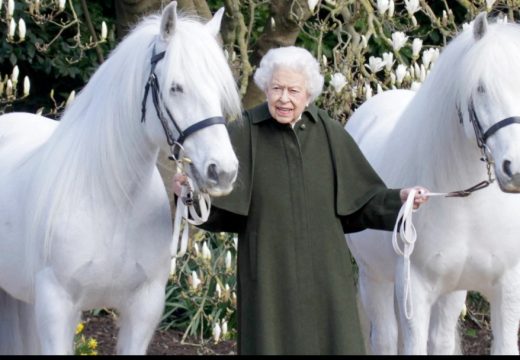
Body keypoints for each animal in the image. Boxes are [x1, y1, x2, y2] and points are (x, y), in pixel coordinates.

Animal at [0, 2, 242, 356]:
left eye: (219, 90)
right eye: (176, 87)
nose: (222, 171)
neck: (112, 200)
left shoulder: (143, 308)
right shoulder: (57, 307)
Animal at [346, 12, 520, 356]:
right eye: (480, 87)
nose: (516, 168)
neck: (469, 205)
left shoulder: (507, 288)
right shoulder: (415, 290)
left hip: (451, 290)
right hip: (374, 278)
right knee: (385, 338)